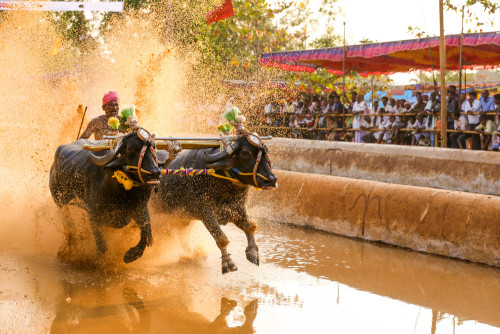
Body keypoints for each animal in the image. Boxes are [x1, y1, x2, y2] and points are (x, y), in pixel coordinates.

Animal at [50, 129, 161, 262]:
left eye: (153, 147)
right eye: (130, 148)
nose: (155, 172)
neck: (122, 192)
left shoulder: (140, 209)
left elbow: (146, 234)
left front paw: (130, 255)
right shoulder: (93, 214)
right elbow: (102, 245)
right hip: (60, 201)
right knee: (68, 223)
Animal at [152, 133, 278, 274]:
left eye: (266, 151)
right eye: (245, 153)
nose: (272, 180)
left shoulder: (237, 208)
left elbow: (250, 226)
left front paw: (253, 253)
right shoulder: (205, 211)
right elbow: (221, 238)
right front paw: (228, 263)